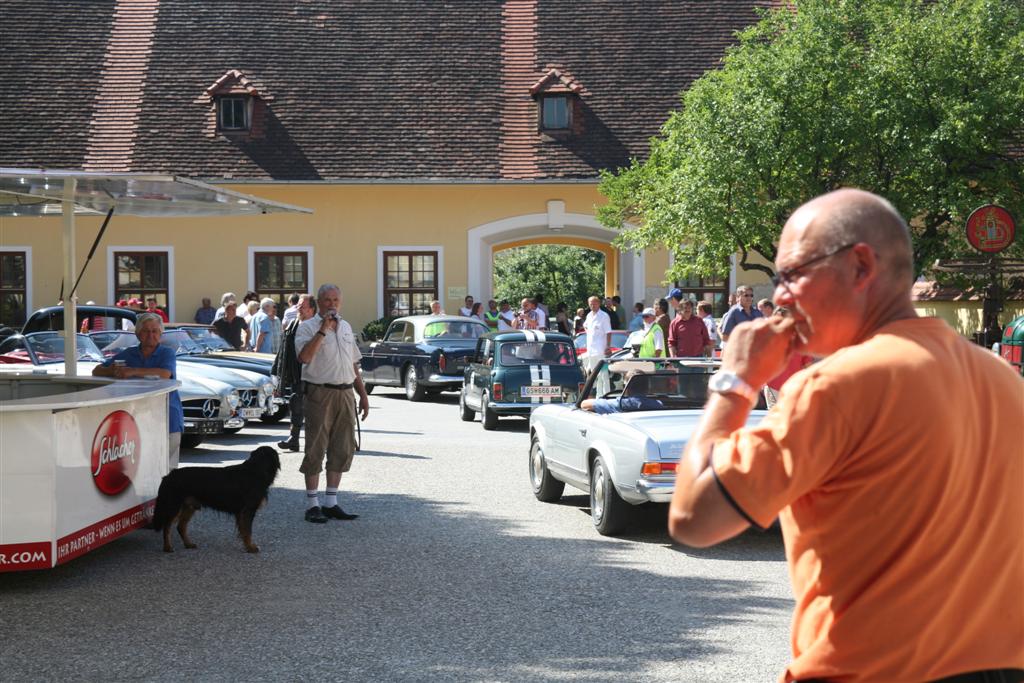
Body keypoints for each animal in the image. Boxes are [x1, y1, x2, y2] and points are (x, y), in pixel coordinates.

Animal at [150, 446, 280, 552]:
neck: (255, 470)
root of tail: (168, 476)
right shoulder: (248, 510)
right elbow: (248, 531)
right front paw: (251, 547)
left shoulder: (243, 512)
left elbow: (244, 531)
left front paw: (247, 546)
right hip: (174, 505)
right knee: (167, 526)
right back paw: (167, 547)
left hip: (189, 506)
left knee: (180, 527)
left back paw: (189, 544)